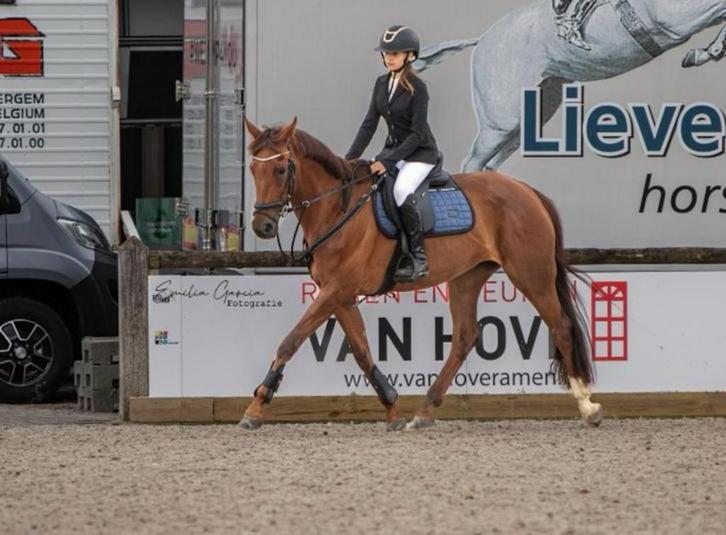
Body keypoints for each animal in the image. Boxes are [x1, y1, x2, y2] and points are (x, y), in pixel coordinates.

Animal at [239, 116, 602, 431]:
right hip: (467, 277)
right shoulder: (339, 295)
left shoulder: (335, 291)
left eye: (281, 169)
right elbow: (361, 351)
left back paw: (588, 407)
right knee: (465, 337)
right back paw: (425, 411)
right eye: (253, 169)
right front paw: (392, 408)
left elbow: (291, 341)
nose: (262, 226)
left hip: (530, 273)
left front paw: (255, 408)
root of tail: (527, 191)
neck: (337, 209)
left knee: (561, 326)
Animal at [412, 0, 726, 172]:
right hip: (499, 123)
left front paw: (707, 52)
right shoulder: (673, 16)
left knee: (490, 164)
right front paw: (704, 52)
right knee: (472, 163)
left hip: (530, 116)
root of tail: (482, 41)